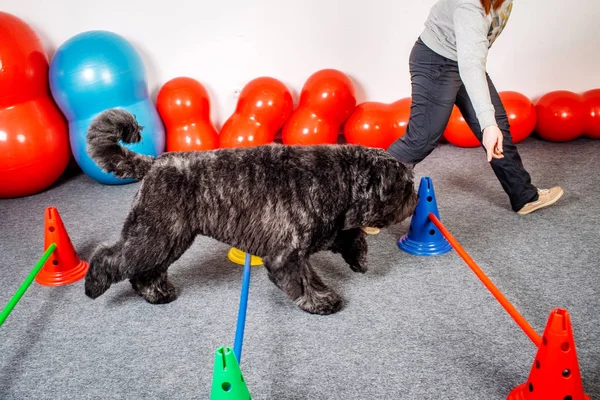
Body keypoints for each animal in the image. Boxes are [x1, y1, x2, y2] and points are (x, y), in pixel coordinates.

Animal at [83, 108, 418, 314]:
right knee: (112, 257)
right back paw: (93, 283)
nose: (416, 198)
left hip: (169, 237)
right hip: (156, 234)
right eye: (404, 186)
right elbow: (303, 281)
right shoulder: (287, 254)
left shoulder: (320, 236)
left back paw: (155, 292)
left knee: (146, 269)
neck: (339, 179)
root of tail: (154, 164)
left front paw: (357, 257)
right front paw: (320, 302)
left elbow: (345, 240)